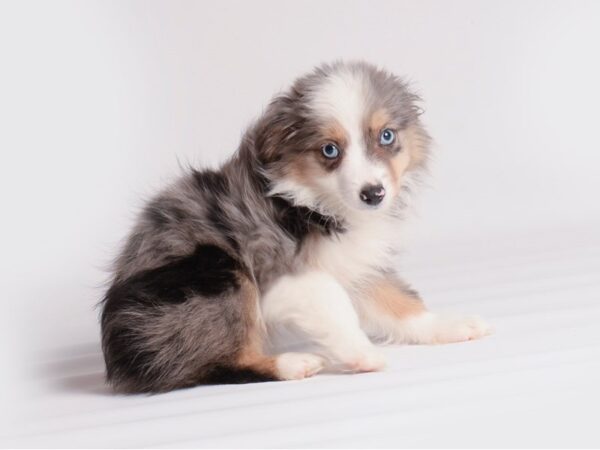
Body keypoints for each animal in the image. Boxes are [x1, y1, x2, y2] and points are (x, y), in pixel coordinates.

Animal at [99, 61, 492, 392]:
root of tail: (120, 362)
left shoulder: (355, 263)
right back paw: (292, 364)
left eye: (387, 136)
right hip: (215, 273)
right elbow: (333, 301)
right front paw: (362, 353)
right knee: (214, 364)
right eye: (330, 150)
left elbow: (396, 298)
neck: (317, 203)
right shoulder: (279, 266)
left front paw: (448, 325)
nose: (373, 194)